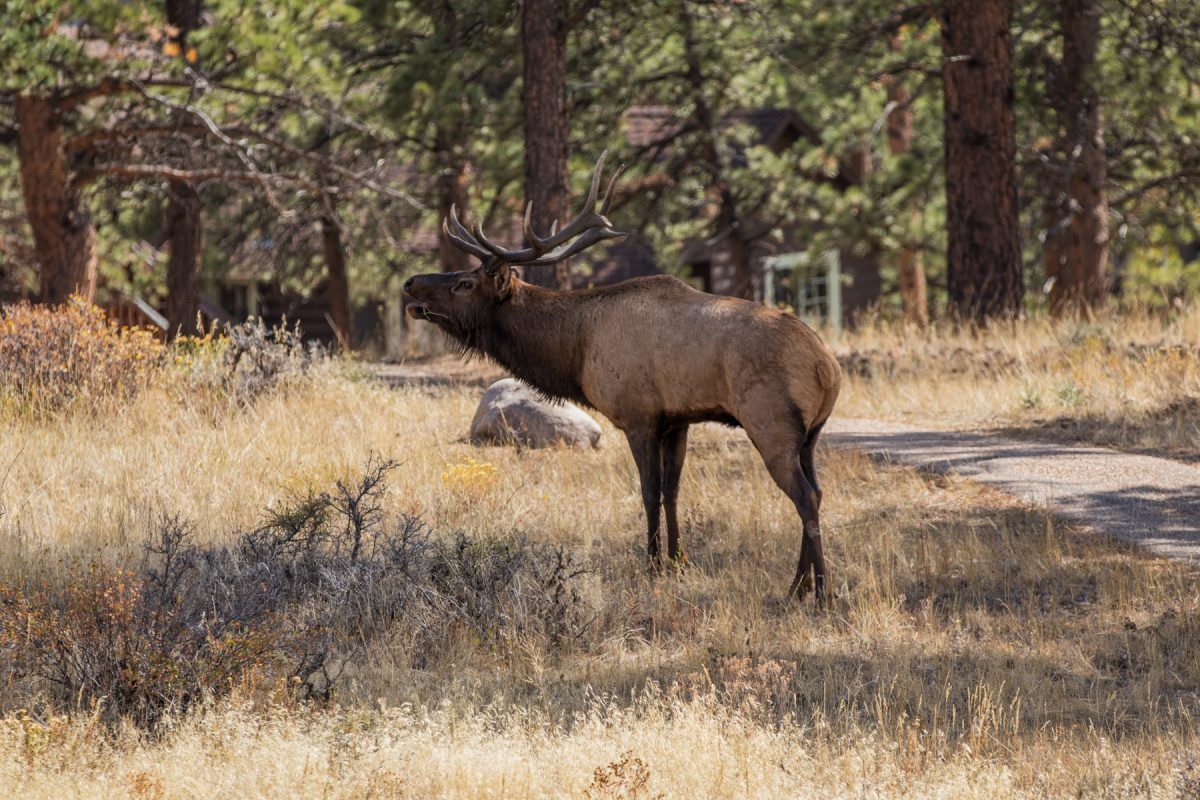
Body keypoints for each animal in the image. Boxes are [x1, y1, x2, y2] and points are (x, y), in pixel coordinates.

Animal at [408, 151, 840, 599]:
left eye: (464, 283)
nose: (410, 282)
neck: (576, 350)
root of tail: (827, 368)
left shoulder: (638, 415)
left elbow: (649, 492)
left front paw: (653, 566)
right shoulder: (677, 420)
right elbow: (672, 490)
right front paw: (678, 561)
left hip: (770, 422)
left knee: (805, 497)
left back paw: (820, 591)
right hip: (810, 435)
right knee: (818, 491)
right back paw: (798, 585)